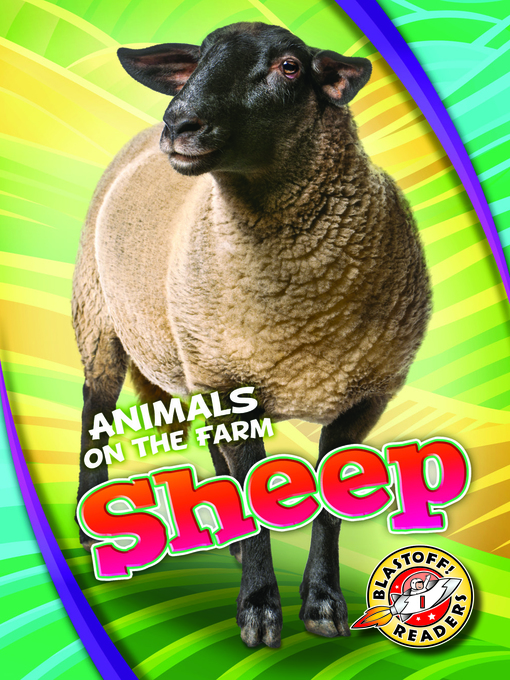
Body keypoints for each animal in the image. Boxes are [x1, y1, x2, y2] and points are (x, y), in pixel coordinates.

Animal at [72, 21, 431, 649]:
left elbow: (329, 505)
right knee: (96, 412)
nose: (179, 124)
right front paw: (261, 610)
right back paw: (93, 537)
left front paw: (321, 601)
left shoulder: (362, 394)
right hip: (101, 321)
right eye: (197, 61)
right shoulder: (229, 379)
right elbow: (252, 488)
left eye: (290, 66)